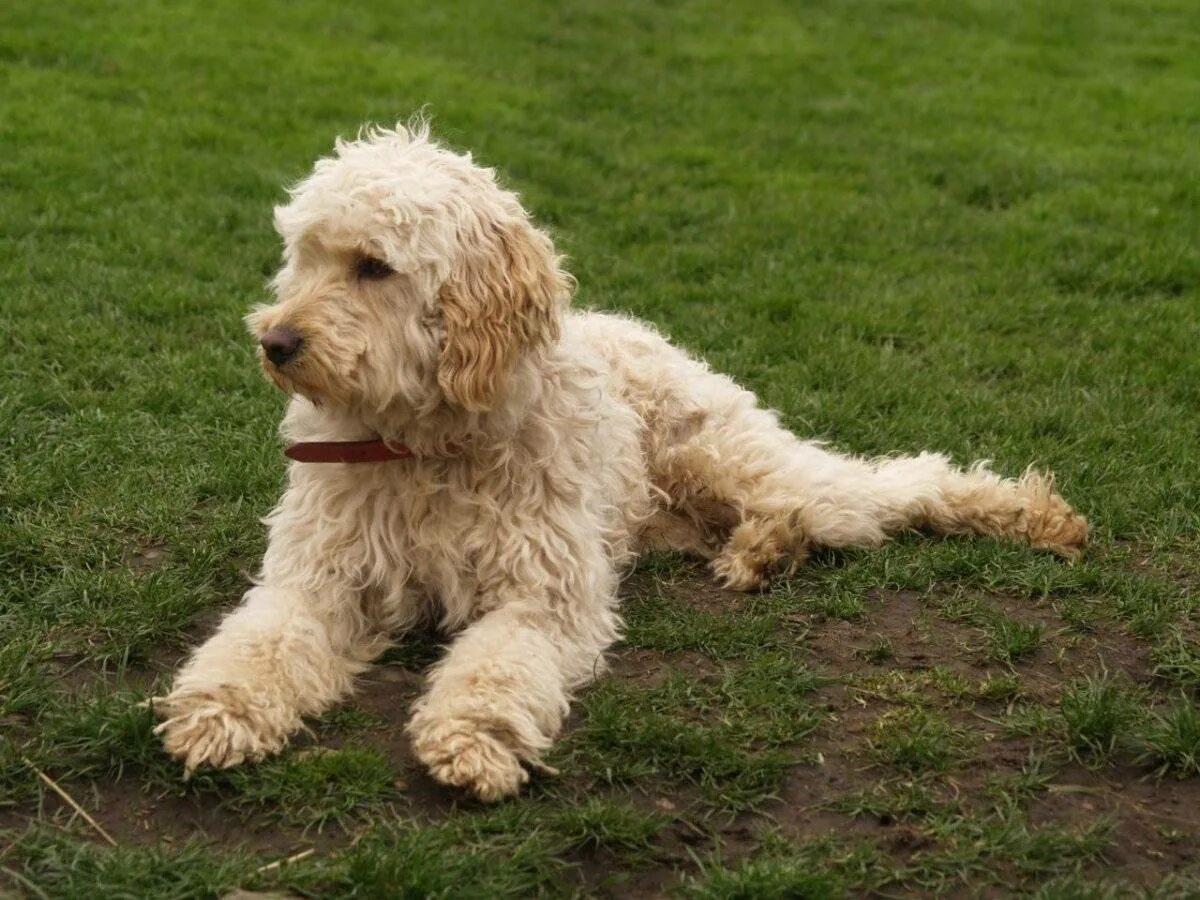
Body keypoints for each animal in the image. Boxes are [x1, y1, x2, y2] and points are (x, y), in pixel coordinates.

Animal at [154, 121, 1094, 801]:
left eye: (374, 267)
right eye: (305, 255)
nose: (276, 343)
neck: (423, 448)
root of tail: (639, 328)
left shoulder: (544, 598)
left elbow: (497, 671)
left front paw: (474, 738)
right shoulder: (318, 580)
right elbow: (260, 642)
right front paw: (219, 710)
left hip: (730, 455)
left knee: (888, 487)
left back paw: (1028, 514)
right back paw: (763, 552)